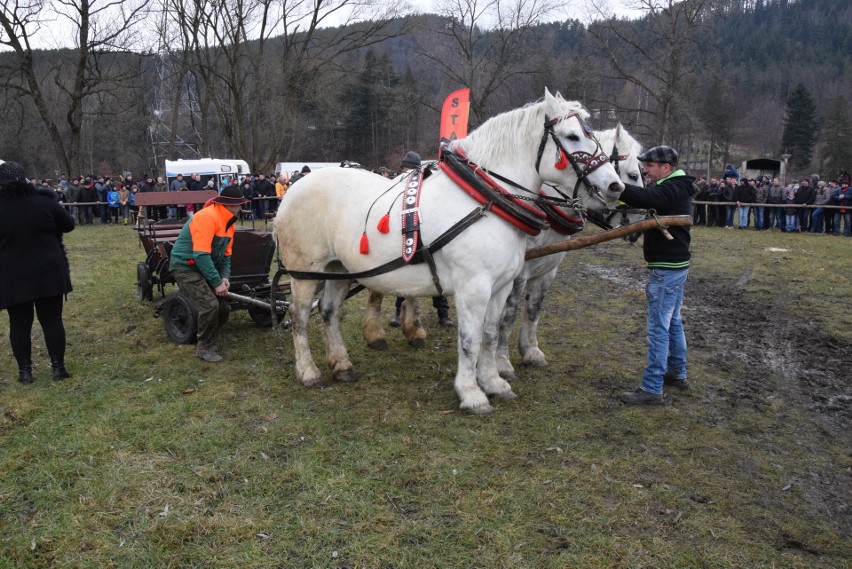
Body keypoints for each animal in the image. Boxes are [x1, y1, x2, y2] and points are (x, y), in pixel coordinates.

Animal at [276, 91, 624, 414]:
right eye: (573, 136)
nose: (616, 186)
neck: (486, 199)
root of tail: (295, 186)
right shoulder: (474, 287)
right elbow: (470, 340)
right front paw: (471, 393)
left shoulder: (500, 287)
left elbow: (490, 333)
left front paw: (493, 382)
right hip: (305, 273)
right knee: (299, 316)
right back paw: (308, 372)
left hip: (338, 269)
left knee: (329, 312)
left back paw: (342, 365)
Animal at [496, 125, 644, 382]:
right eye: (634, 175)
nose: (639, 227)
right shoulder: (518, 273)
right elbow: (508, 313)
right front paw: (501, 362)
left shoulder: (547, 270)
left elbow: (534, 309)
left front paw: (531, 351)